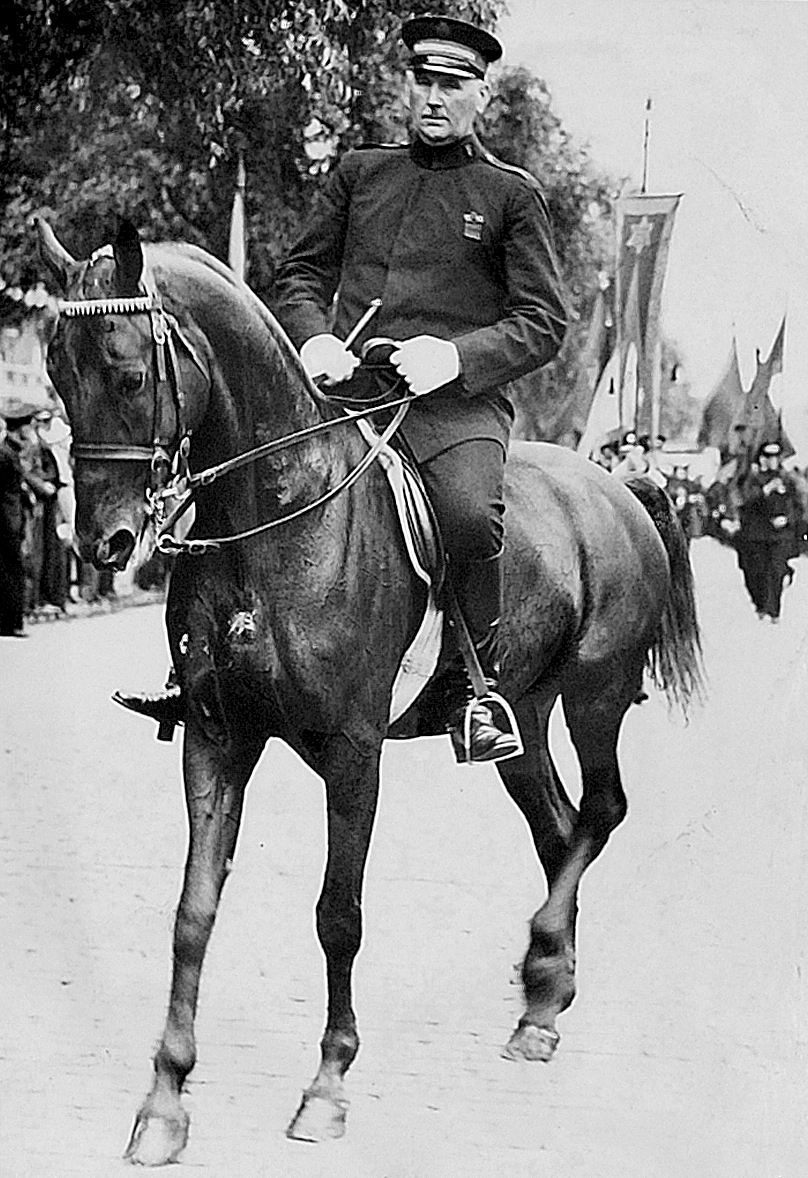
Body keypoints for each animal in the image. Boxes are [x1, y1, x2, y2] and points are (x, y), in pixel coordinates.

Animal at [38, 218, 703, 1166]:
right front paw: (164, 1100)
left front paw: (327, 1084)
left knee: (603, 811)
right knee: (560, 828)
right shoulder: (217, 737)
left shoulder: (353, 752)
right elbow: (193, 912)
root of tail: (618, 486)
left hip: (596, 695)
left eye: (128, 374)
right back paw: (543, 1000)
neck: (279, 521)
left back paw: (542, 964)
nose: (104, 543)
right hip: (525, 716)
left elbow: (337, 916)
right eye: (57, 374)